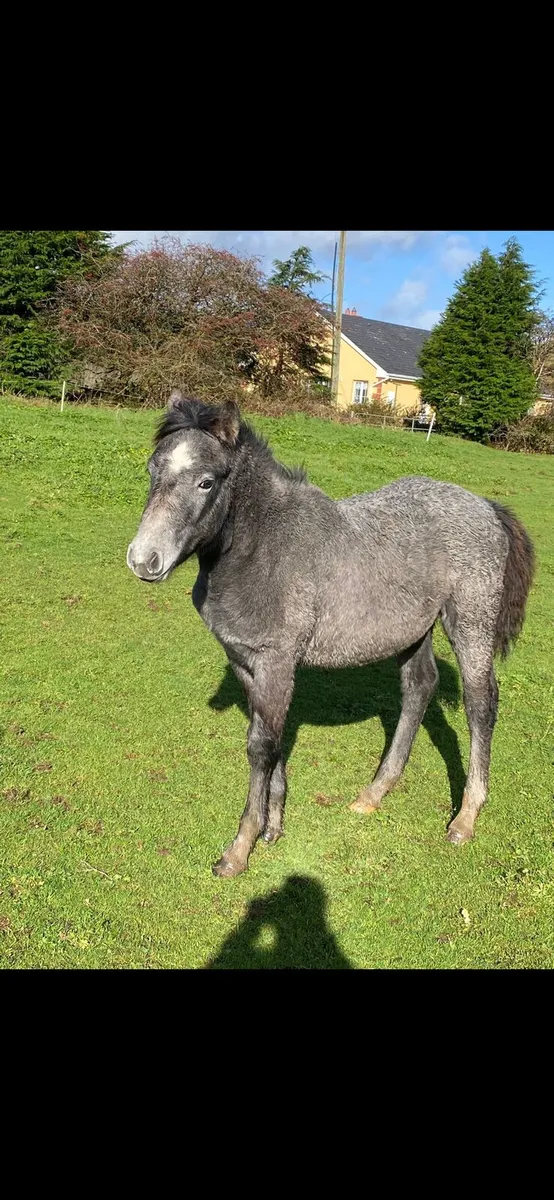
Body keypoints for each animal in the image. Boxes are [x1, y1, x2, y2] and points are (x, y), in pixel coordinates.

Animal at [127, 392, 535, 879]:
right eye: (152, 470)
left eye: (206, 482)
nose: (143, 560)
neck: (260, 550)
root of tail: (487, 506)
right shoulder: (245, 661)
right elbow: (271, 738)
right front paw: (273, 826)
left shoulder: (277, 661)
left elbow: (261, 747)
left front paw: (240, 849)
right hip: (412, 630)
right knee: (420, 686)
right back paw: (374, 793)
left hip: (470, 621)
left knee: (480, 704)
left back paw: (466, 817)